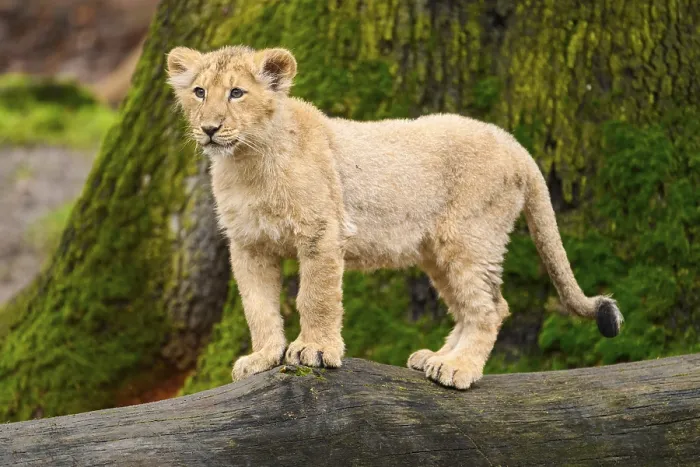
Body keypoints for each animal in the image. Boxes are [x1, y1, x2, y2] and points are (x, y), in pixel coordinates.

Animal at [166, 45, 623, 389]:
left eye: (237, 93)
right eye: (200, 92)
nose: (209, 128)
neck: (246, 162)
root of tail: (513, 143)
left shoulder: (321, 232)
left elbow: (316, 297)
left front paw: (315, 350)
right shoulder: (248, 245)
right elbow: (258, 306)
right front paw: (262, 357)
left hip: (470, 237)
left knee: (492, 307)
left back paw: (459, 369)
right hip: (437, 252)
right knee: (470, 306)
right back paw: (437, 358)